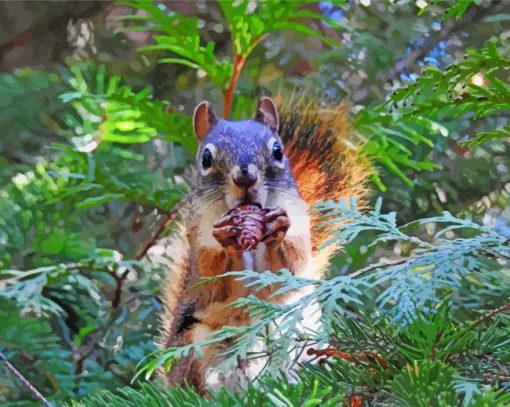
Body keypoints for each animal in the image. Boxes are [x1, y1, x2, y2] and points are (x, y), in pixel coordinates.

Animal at [145, 94, 368, 394]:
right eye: (206, 158)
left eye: (278, 151)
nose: (245, 177)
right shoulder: (200, 242)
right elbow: (214, 283)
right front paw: (229, 241)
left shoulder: (299, 225)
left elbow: (289, 269)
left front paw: (277, 230)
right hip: (200, 349)